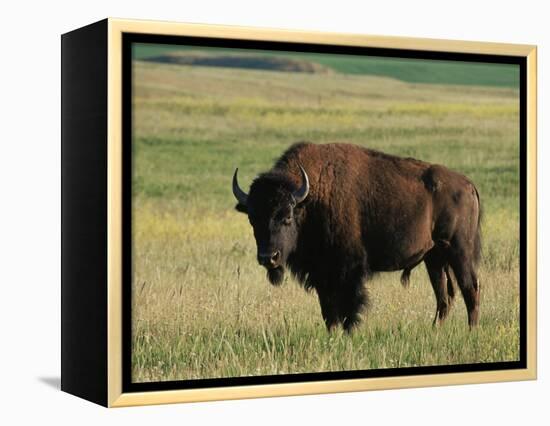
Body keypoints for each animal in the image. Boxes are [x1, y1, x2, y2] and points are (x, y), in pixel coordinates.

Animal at [233, 143, 484, 332]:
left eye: (286, 216)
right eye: (252, 219)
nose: (268, 257)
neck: (312, 199)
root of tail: (468, 185)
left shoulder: (347, 271)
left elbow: (349, 306)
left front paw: (348, 332)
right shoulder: (322, 274)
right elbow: (328, 310)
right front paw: (332, 334)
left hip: (459, 251)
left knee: (470, 287)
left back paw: (471, 330)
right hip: (435, 258)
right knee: (444, 296)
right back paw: (435, 329)